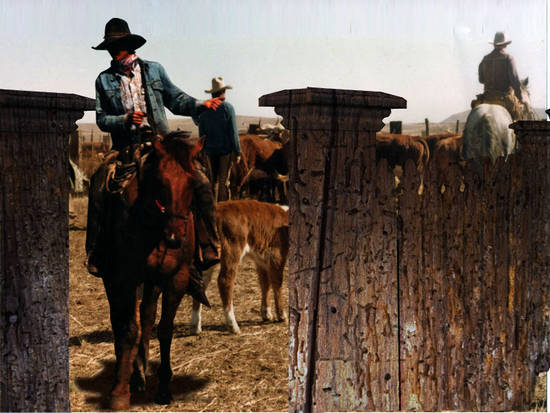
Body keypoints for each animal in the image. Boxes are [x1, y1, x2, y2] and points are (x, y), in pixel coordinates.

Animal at [98, 132, 203, 408]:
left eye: (192, 182)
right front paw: (119, 391)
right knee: (120, 321)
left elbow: (163, 329)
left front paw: (164, 388)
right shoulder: (125, 278)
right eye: (161, 181)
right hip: (113, 281)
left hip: (151, 282)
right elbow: (128, 330)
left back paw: (141, 370)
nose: (175, 237)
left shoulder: (175, 279)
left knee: (146, 315)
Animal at [192, 199, 292, 332]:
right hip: (232, 250)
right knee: (225, 281)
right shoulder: (277, 255)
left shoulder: (261, 260)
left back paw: (195, 326)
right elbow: (277, 284)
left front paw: (266, 313)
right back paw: (233, 325)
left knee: (201, 282)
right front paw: (282, 315)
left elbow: (265, 284)